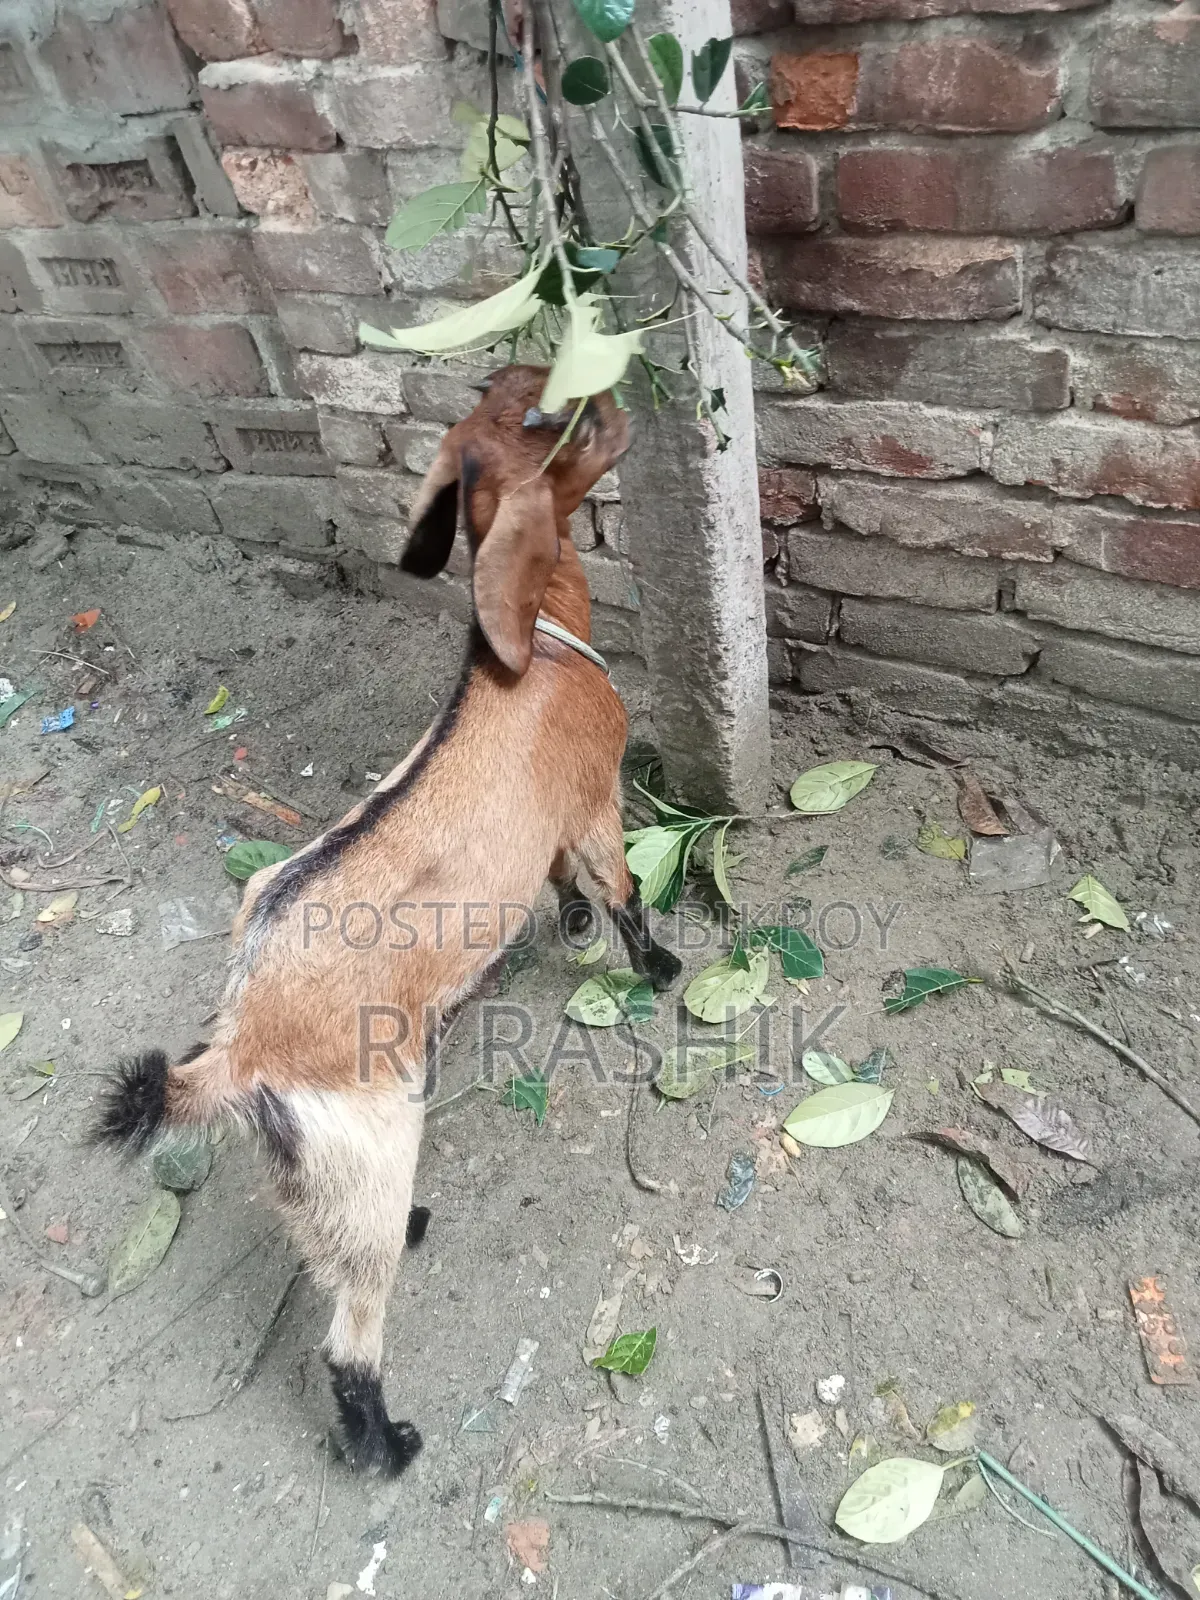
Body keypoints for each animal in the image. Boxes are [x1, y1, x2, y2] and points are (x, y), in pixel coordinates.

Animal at [93, 365, 683, 1477]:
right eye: (548, 419)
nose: (617, 397)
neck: (531, 647)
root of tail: (234, 1054)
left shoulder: (549, 831)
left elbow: (564, 886)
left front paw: (574, 927)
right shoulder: (594, 803)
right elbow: (622, 888)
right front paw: (662, 965)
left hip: (324, 1168)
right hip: (367, 1144)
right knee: (350, 1329)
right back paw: (386, 1441)